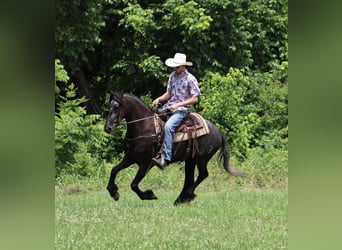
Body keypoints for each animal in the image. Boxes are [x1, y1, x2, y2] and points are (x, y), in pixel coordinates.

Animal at [105, 92, 246, 205]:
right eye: (109, 106)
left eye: (117, 107)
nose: (108, 128)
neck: (144, 127)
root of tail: (218, 132)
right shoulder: (130, 158)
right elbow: (114, 170)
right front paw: (114, 192)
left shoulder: (146, 163)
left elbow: (133, 185)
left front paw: (149, 195)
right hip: (190, 160)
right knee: (189, 178)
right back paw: (181, 199)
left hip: (202, 159)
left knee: (203, 175)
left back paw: (187, 195)